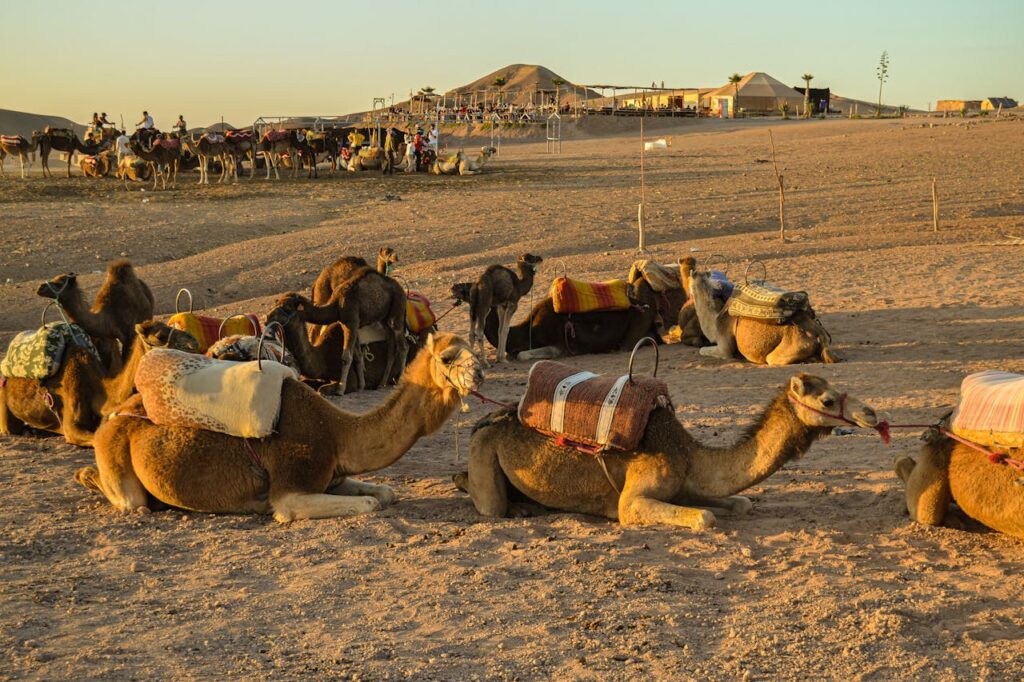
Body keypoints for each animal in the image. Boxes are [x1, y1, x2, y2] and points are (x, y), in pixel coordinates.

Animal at [74, 332, 484, 521]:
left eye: (473, 348)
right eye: (448, 356)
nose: (479, 372)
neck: (337, 433)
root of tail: (113, 417)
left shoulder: (331, 476)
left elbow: (384, 493)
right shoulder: (291, 486)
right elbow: (368, 503)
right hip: (118, 462)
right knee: (130, 500)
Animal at [457, 373, 878, 528]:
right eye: (827, 399)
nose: (870, 414)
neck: (688, 453)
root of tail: (491, 417)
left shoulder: (686, 485)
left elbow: (740, 503)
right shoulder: (634, 500)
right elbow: (705, 517)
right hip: (483, 449)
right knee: (487, 502)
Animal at [689, 268, 838, 365]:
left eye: (689, 283)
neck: (715, 323)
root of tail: (819, 333)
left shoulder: (724, 348)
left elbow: (702, 350)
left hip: (782, 352)